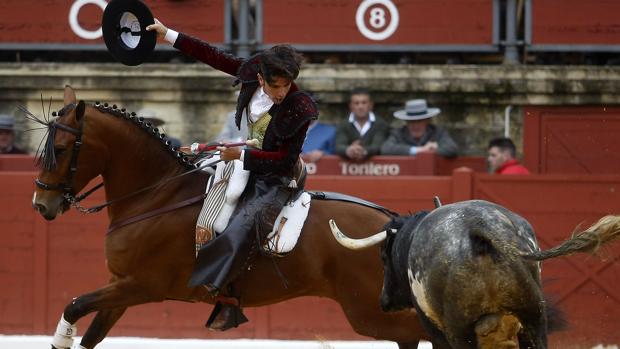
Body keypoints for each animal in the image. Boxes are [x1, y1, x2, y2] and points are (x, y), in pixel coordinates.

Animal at [29, 85, 426, 348]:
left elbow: (73, 305)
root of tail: (394, 226)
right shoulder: (120, 287)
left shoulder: (141, 286)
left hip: (367, 310)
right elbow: (91, 332)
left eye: (60, 148)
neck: (156, 195)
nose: (41, 204)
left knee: (415, 330)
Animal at [330, 198, 620, 348]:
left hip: (460, 329)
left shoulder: (434, 328)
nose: (384, 301)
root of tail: (477, 229)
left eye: (383, 257)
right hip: (534, 317)